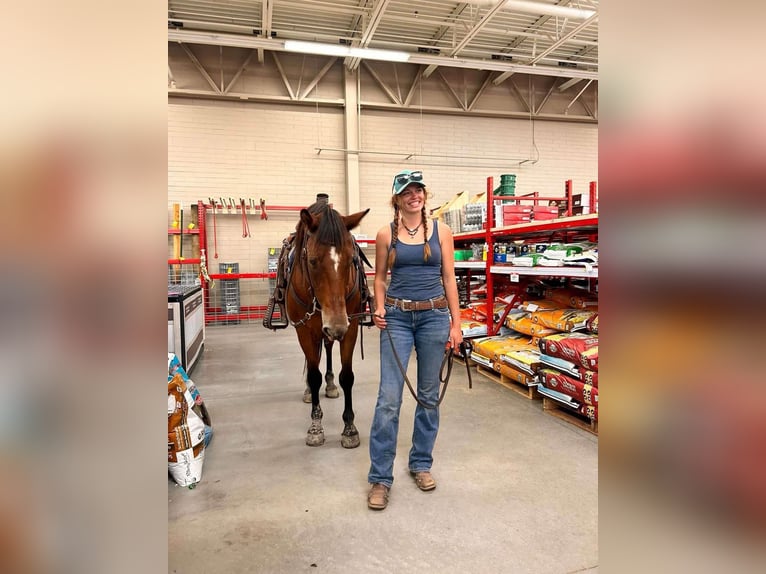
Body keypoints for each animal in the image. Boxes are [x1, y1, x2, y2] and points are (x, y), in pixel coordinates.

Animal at [285, 202, 370, 447]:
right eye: (312, 260)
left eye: (352, 259)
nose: (336, 325)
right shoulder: (304, 331)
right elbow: (314, 375)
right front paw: (316, 427)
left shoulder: (350, 328)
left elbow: (347, 376)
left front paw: (349, 428)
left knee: (328, 348)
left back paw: (330, 384)